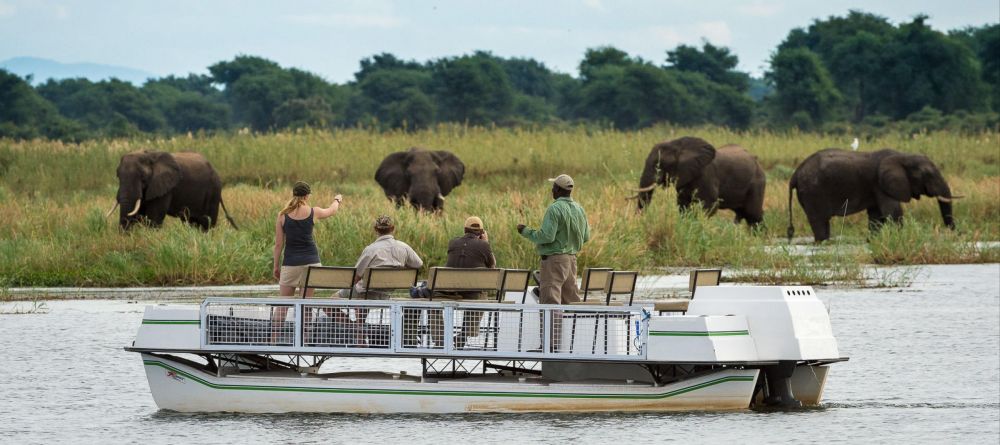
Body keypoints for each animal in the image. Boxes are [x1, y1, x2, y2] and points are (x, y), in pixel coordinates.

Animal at [106, 151, 237, 231]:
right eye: (118, 176)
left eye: (143, 178)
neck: (148, 154)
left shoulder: (164, 188)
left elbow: (153, 218)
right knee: (191, 221)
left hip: (213, 191)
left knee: (207, 222)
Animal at [632, 135, 764, 225]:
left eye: (658, 165)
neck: (678, 145)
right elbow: (683, 205)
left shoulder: (707, 175)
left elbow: (710, 205)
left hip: (757, 183)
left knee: (753, 215)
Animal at [784, 147, 956, 241]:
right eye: (928, 175)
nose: (954, 233)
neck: (902, 156)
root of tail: (795, 173)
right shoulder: (880, 184)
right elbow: (893, 212)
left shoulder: (876, 188)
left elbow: (876, 216)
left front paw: (872, 241)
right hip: (812, 192)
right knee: (819, 221)